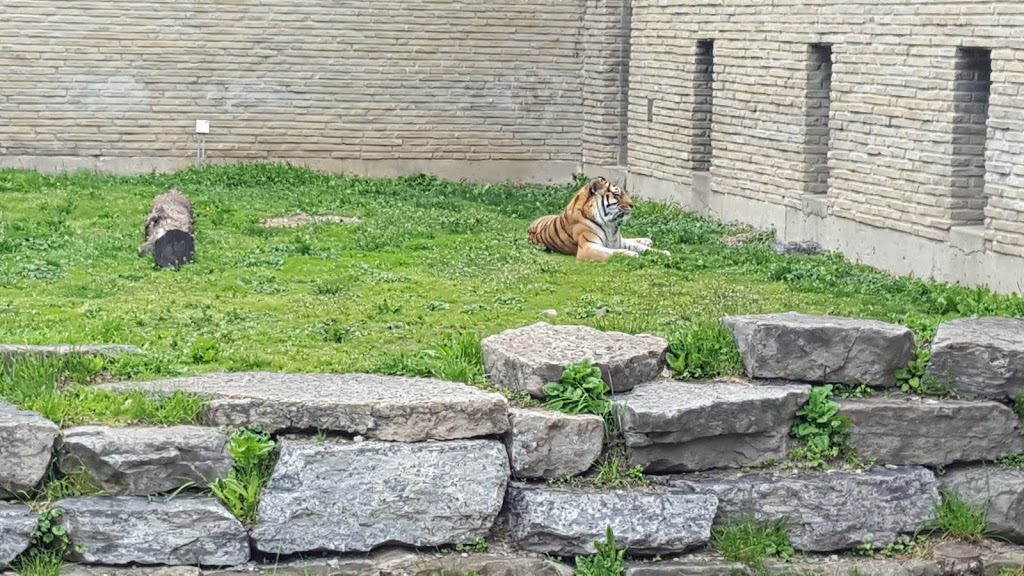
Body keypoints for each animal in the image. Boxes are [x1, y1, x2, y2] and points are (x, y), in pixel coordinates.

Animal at [528, 175, 671, 260]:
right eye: (617, 194)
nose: (632, 205)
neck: (612, 225)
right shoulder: (587, 247)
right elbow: (612, 252)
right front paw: (631, 254)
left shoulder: (616, 241)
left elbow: (643, 248)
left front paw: (664, 252)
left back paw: (646, 240)